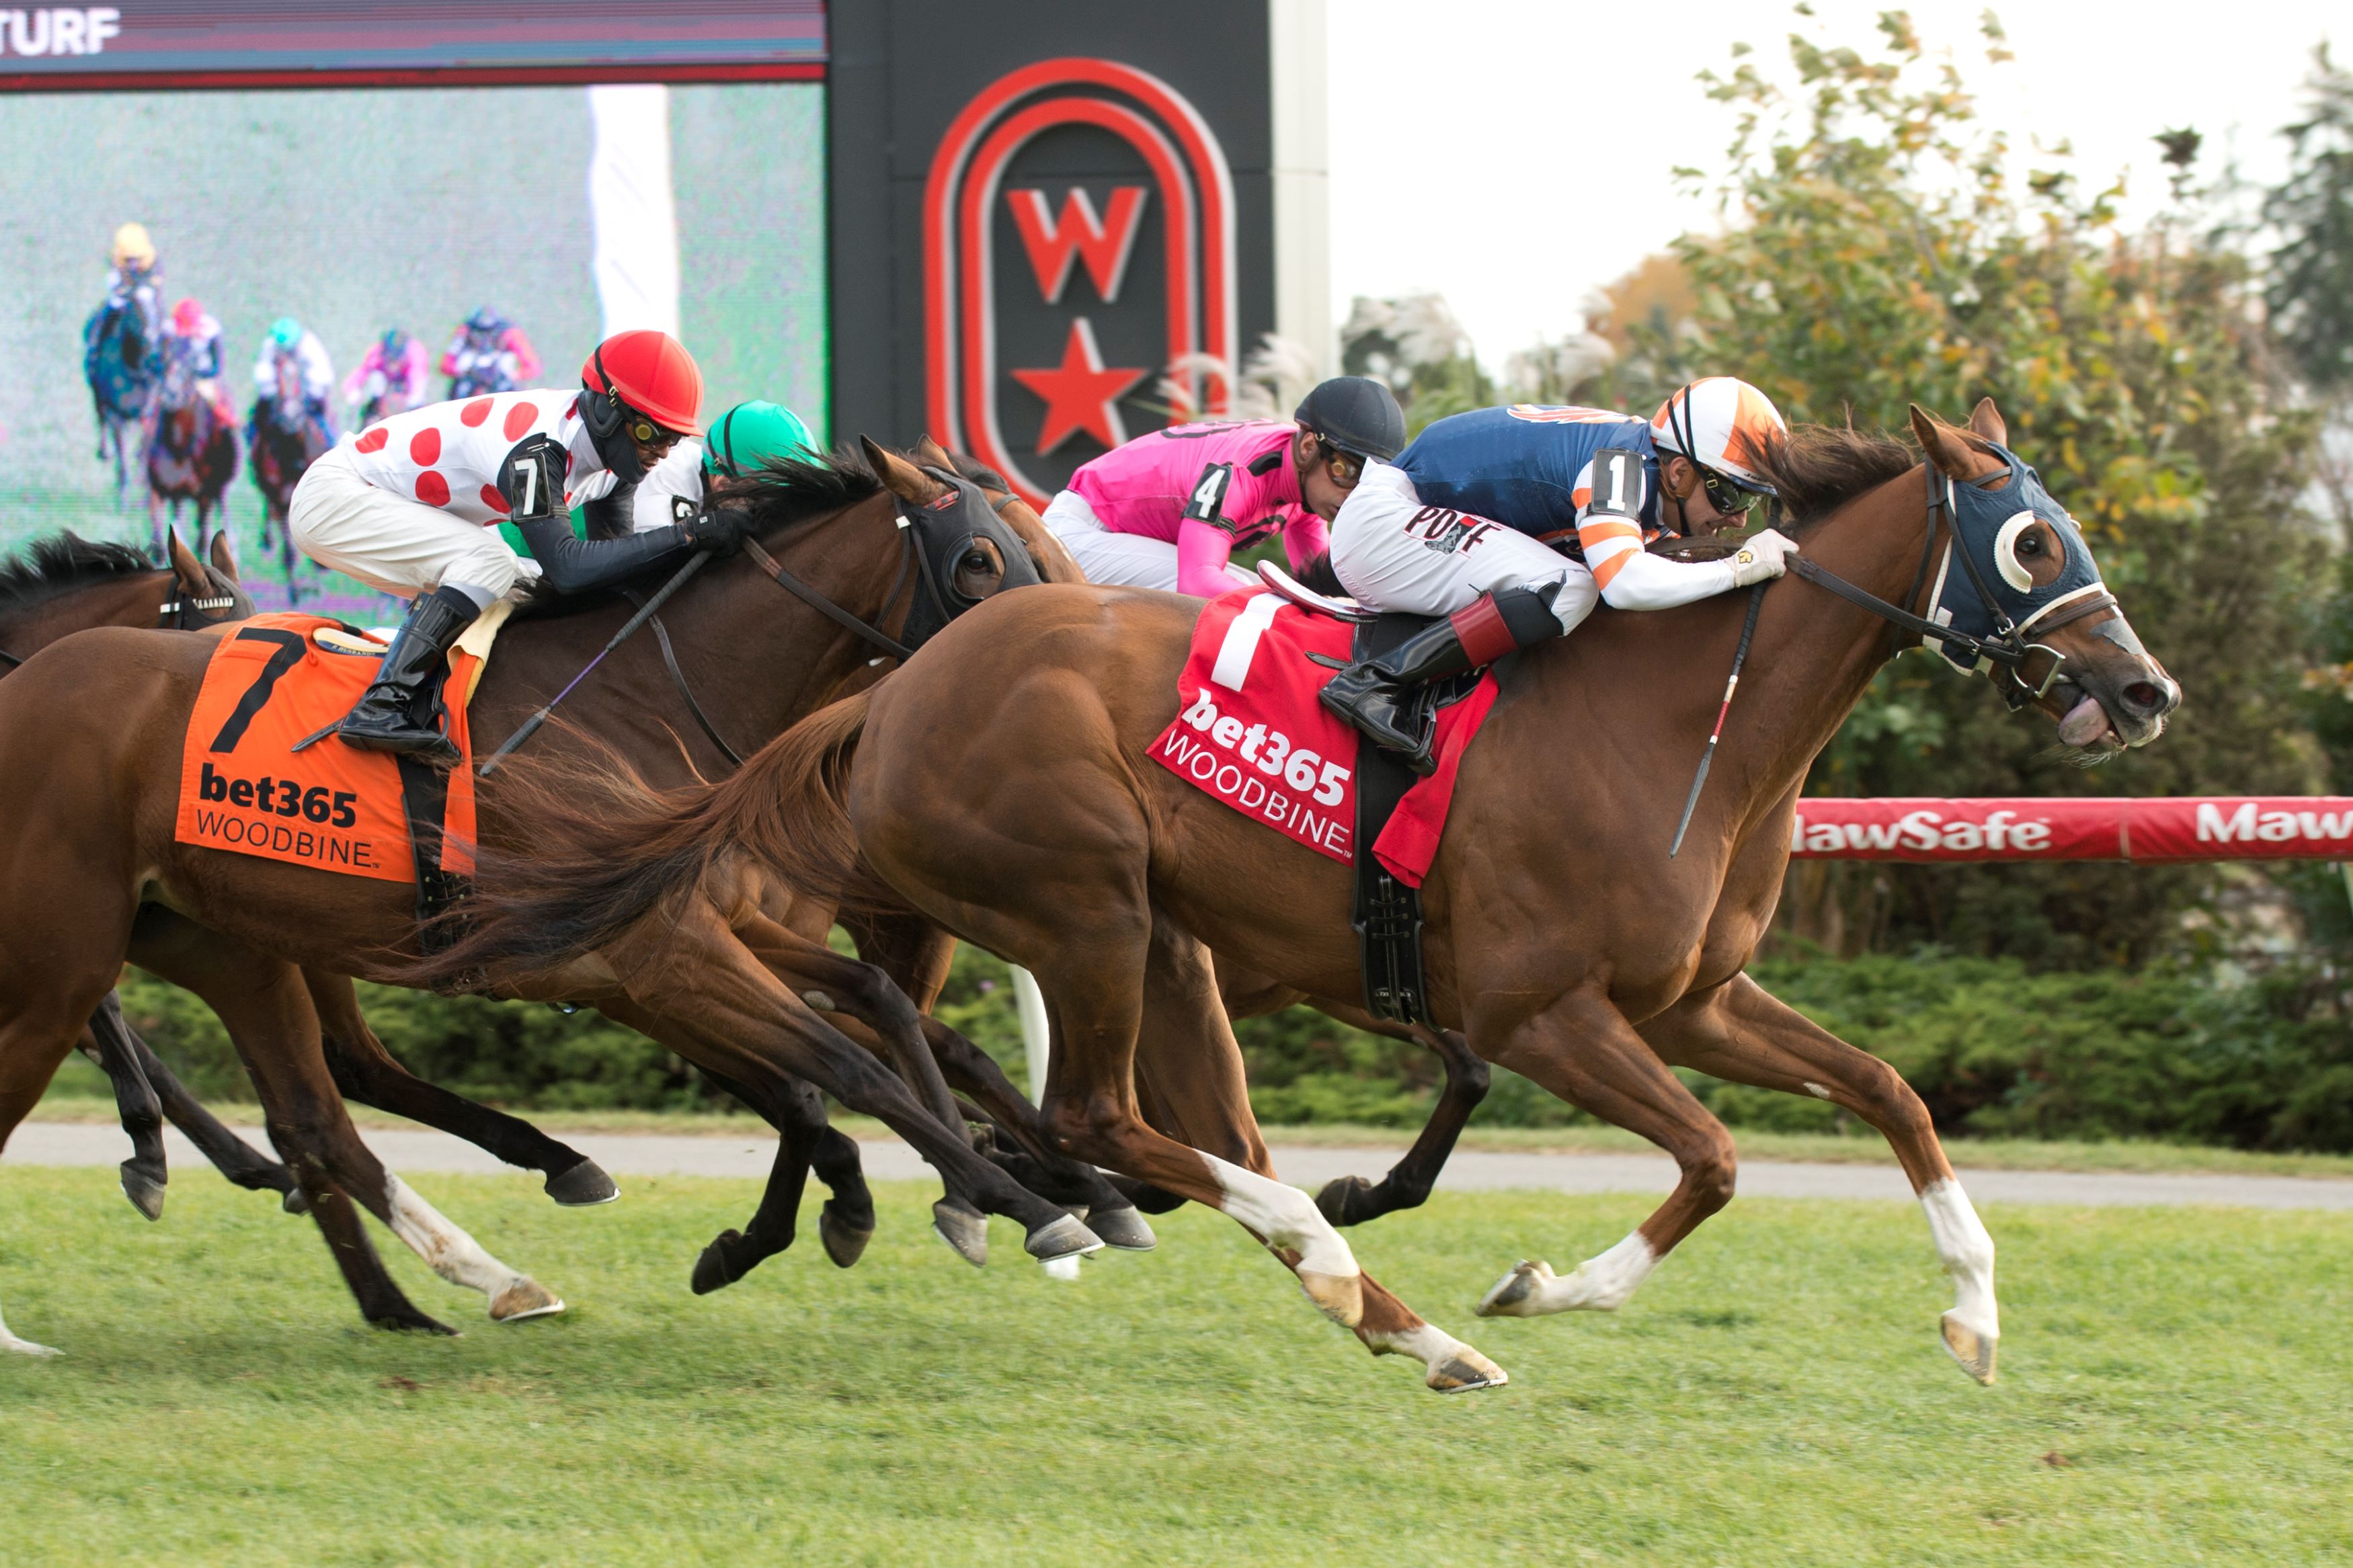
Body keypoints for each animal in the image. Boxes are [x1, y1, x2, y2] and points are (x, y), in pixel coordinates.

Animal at [0, 444, 1106, 1363]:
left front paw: (1016, 1185)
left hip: (224, 940)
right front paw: (1007, 1198)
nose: (1063, 643)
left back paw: (445, 1275)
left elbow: (872, 1019)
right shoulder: (658, 958)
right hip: (89, 948)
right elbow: (835, 1070)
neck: (652, 705)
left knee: (318, 1108)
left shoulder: (703, 934)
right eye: (979, 560)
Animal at [419, 404, 2165, 1401]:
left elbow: (1891, 1094)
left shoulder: (1691, 998)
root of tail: (897, 682)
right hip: (1094, 902)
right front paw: (1546, 1283)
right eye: (2029, 539)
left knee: (979, 1059)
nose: (2143, 689)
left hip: (1091, 924)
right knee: (1096, 1109)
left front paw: (1974, 1315)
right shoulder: (1549, 1011)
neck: (1691, 720)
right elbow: (1719, 1159)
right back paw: (1299, 1261)